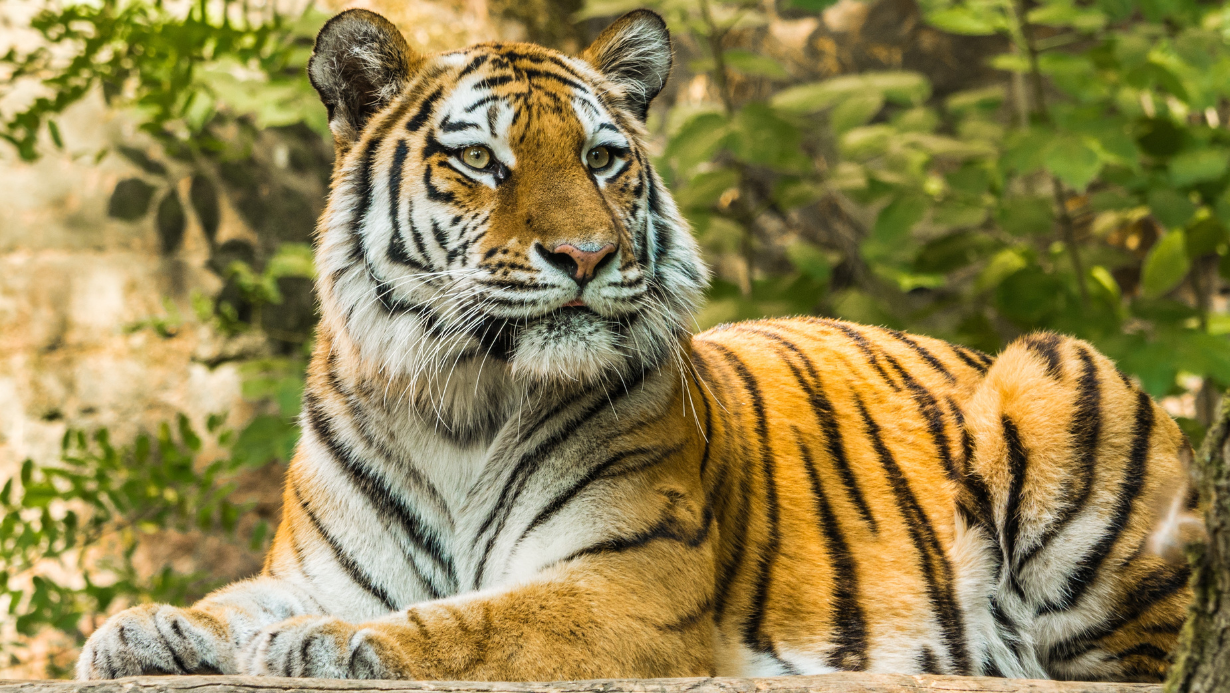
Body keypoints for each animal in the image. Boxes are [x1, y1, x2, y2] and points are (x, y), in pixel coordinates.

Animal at [77, 8, 1196, 683]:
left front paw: (327, 643)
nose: (585, 253)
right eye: (482, 162)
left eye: (604, 158)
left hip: (1053, 377)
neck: (458, 396)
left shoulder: (630, 582)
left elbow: (477, 619)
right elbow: (235, 597)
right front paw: (142, 626)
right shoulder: (325, 561)